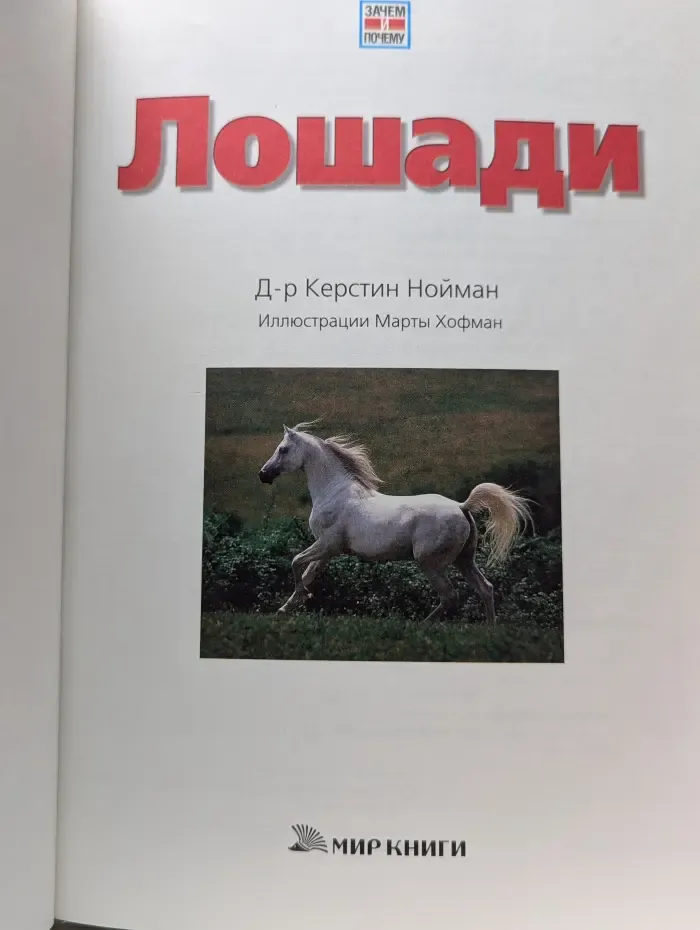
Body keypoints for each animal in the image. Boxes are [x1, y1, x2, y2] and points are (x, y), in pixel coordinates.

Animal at [258, 422, 532, 624]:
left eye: (283, 449)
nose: (263, 474)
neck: (334, 492)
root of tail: (461, 507)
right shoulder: (328, 551)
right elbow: (307, 573)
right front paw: (286, 608)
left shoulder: (327, 545)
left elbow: (296, 563)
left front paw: (302, 597)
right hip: (464, 560)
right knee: (485, 588)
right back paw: (490, 628)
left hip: (430, 563)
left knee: (450, 596)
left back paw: (422, 625)